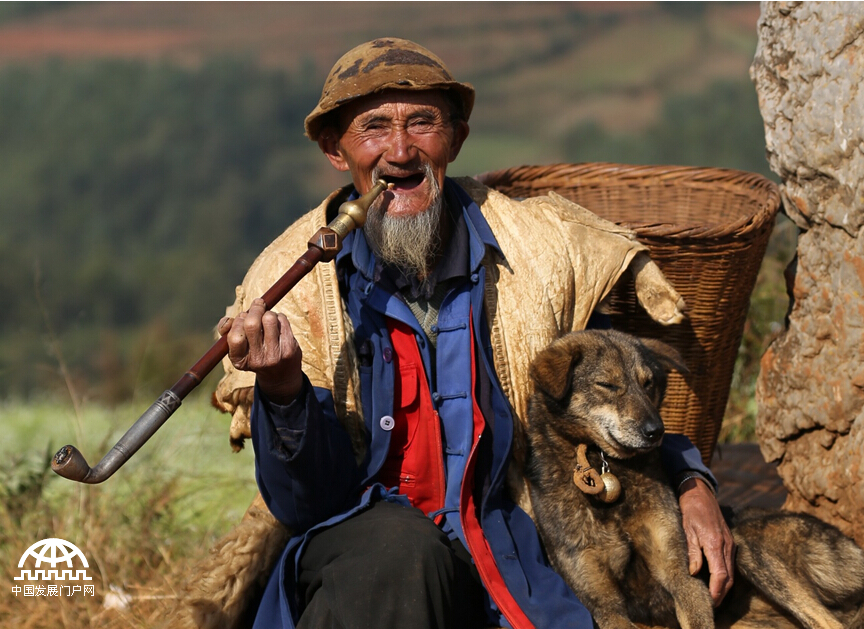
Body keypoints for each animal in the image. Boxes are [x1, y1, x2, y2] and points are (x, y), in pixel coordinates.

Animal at [524, 328, 864, 628]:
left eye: (648, 384)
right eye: (606, 384)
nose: (657, 431)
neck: (607, 466)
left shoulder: (682, 573)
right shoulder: (602, 605)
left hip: (747, 542)